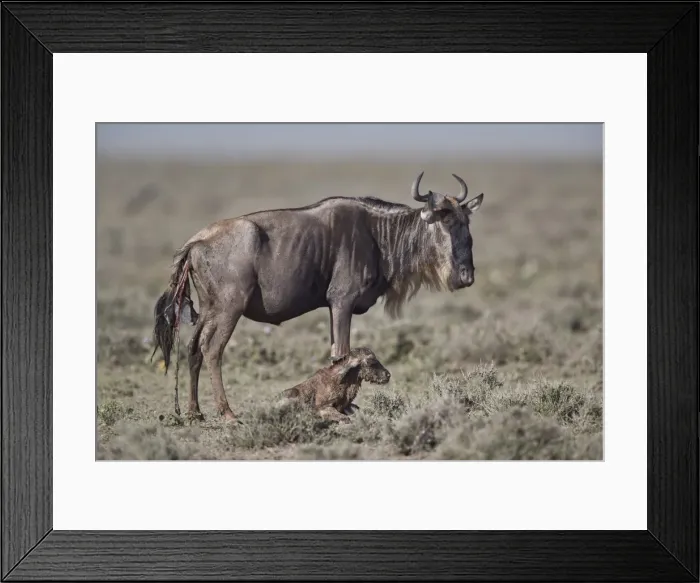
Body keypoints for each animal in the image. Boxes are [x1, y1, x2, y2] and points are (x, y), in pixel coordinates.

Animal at [151, 172, 484, 421]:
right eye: (444, 223)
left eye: (466, 224)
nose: (466, 277)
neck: (379, 234)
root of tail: (195, 242)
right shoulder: (342, 301)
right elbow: (342, 350)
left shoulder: (332, 306)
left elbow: (336, 352)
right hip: (229, 308)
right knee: (212, 349)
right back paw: (227, 413)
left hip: (210, 308)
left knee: (193, 347)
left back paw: (194, 412)